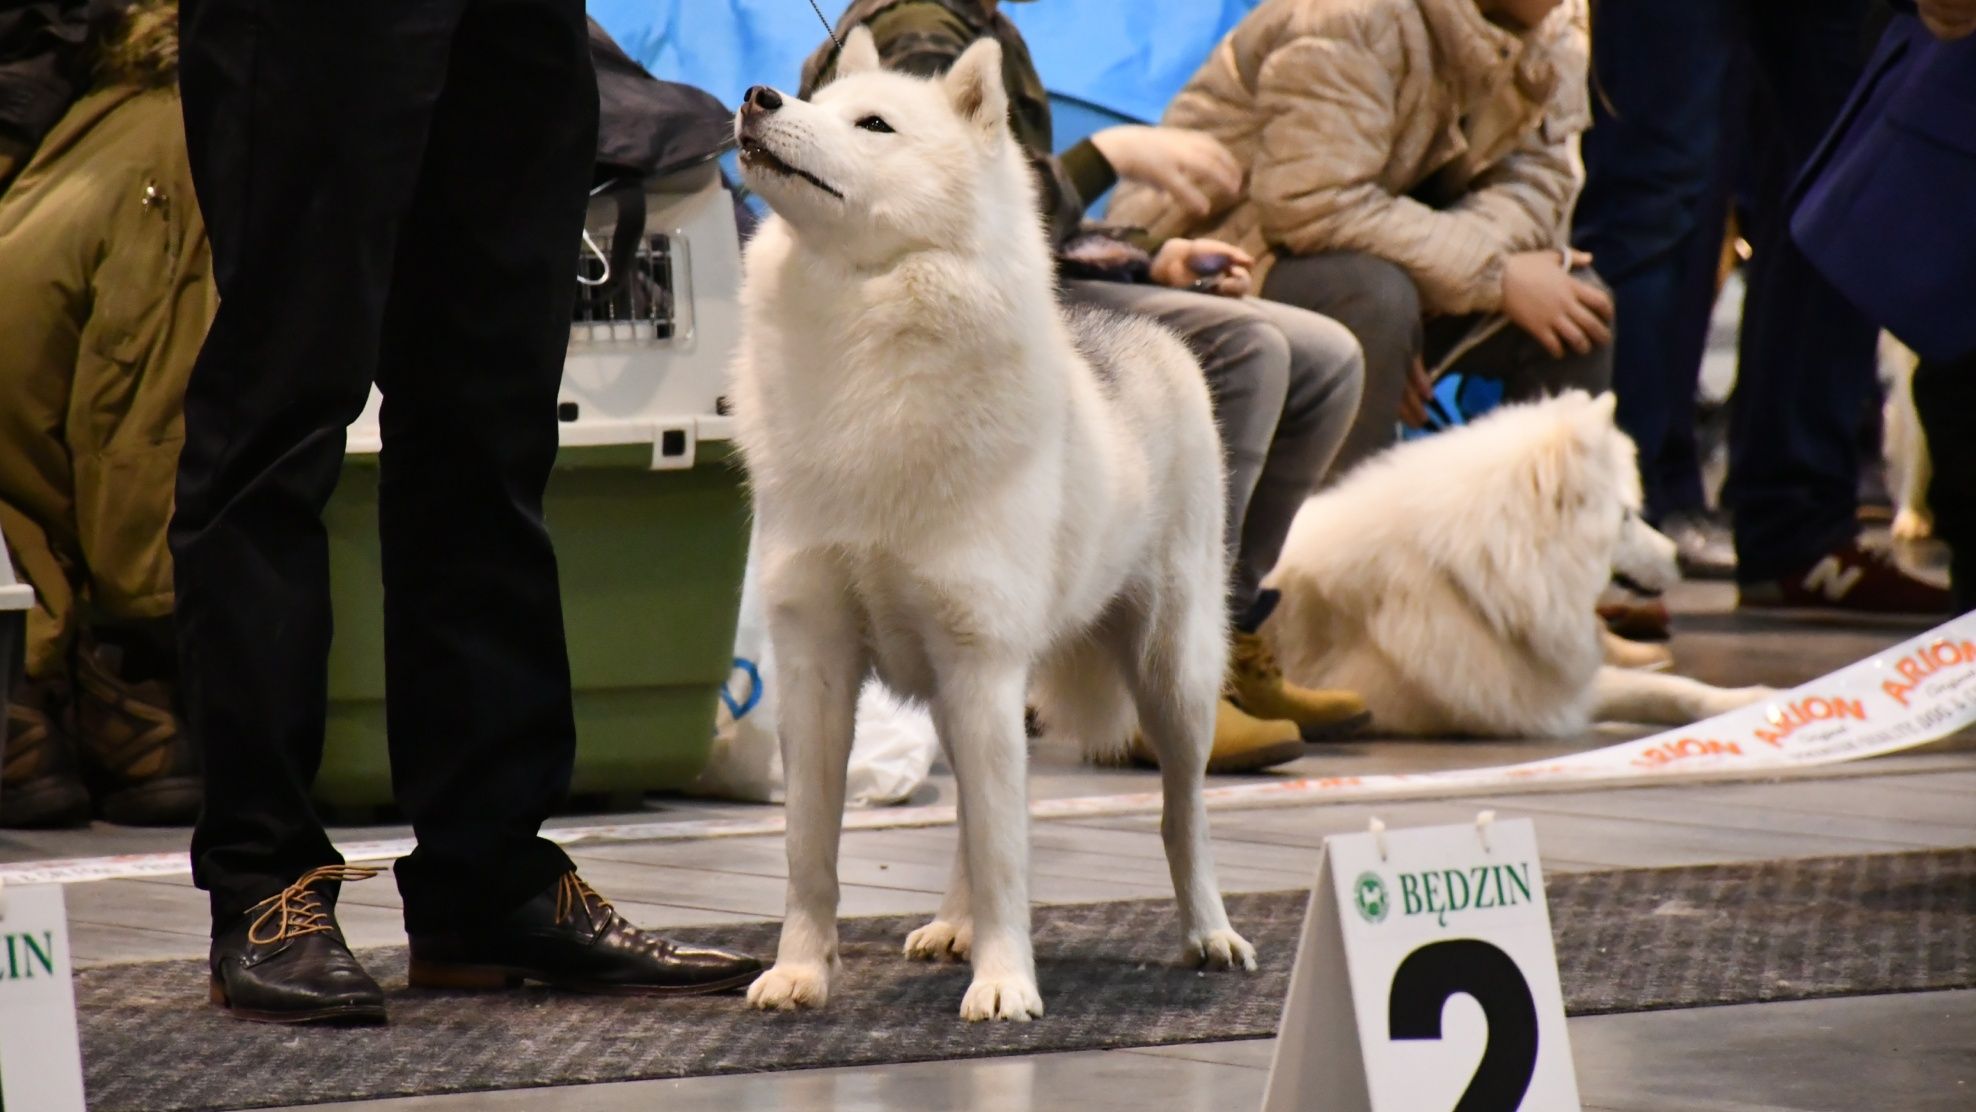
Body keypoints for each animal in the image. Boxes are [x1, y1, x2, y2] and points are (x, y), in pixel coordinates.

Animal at [727, 30, 1248, 1019]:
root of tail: (1151, 337)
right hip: (971, 690)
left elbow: (1010, 853)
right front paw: (802, 972)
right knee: (974, 813)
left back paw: (1209, 932)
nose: (756, 97)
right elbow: (810, 849)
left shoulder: (981, 658)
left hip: (1172, 675)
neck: (864, 347)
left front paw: (1005, 982)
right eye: (819, 98)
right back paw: (952, 926)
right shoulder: (819, 664)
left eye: (874, 124)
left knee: (1184, 814)